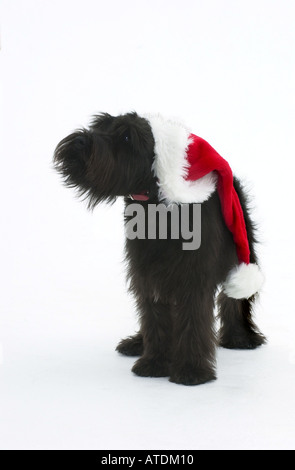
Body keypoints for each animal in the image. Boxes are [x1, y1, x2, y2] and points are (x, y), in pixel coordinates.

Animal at [53, 111, 266, 386]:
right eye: (99, 125)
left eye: (126, 136)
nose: (81, 141)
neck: (155, 208)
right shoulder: (146, 273)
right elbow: (154, 318)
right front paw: (155, 362)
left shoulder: (193, 276)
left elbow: (193, 320)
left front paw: (191, 369)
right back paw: (138, 343)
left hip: (242, 253)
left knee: (233, 299)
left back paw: (240, 338)